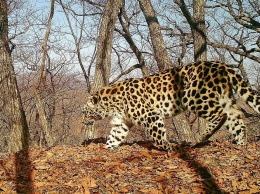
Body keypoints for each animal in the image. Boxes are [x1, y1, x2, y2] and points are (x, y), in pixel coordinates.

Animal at [82, 61, 260, 152]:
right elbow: (115, 136)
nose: (83, 121)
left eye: (84, 112)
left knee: (220, 115)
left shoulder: (151, 116)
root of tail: (222, 65)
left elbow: (158, 135)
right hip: (224, 98)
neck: (110, 103)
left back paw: (201, 137)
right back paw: (240, 143)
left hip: (194, 97)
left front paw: (169, 147)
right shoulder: (122, 122)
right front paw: (108, 147)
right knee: (237, 121)